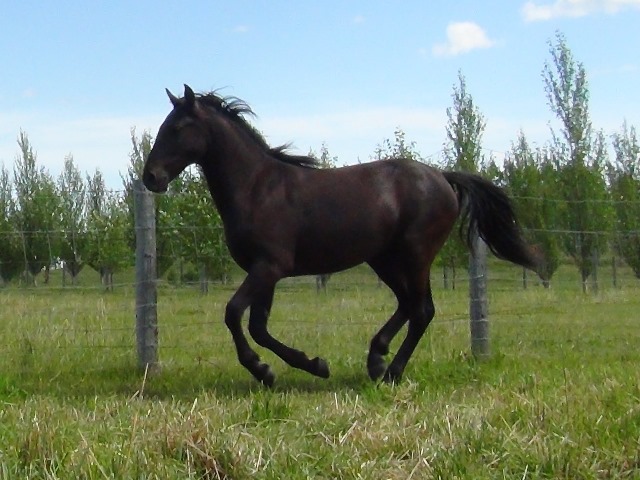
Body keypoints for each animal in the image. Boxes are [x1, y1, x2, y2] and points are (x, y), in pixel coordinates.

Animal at [144, 85, 540, 386]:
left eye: (177, 127)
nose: (151, 177)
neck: (257, 187)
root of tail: (442, 177)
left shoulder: (269, 267)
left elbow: (233, 314)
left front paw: (265, 369)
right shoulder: (264, 271)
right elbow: (258, 326)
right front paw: (308, 366)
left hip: (416, 255)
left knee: (422, 310)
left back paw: (390, 371)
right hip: (384, 260)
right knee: (408, 305)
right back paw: (376, 359)